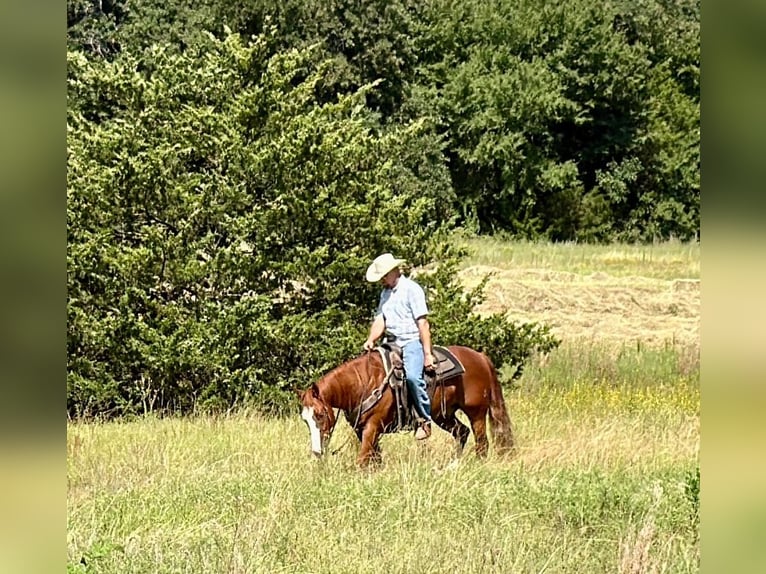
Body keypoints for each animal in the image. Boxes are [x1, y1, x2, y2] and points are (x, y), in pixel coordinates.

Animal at [297, 345, 515, 466]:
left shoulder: (372, 427)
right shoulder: (363, 430)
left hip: (476, 412)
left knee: (481, 443)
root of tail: (480, 357)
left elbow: (362, 459)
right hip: (443, 416)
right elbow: (374, 458)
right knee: (462, 433)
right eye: (305, 420)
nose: (316, 452)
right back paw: (454, 464)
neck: (364, 383)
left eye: (320, 415)